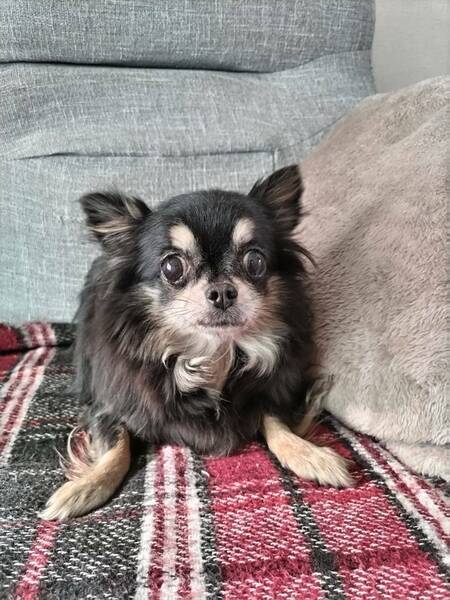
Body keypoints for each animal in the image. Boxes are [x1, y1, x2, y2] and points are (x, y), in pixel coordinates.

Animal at [40, 165, 351, 520]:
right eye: (172, 266)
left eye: (255, 261)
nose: (223, 291)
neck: (212, 354)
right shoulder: (109, 406)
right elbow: (117, 446)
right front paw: (86, 486)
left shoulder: (270, 394)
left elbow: (277, 423)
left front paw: (310, 455)